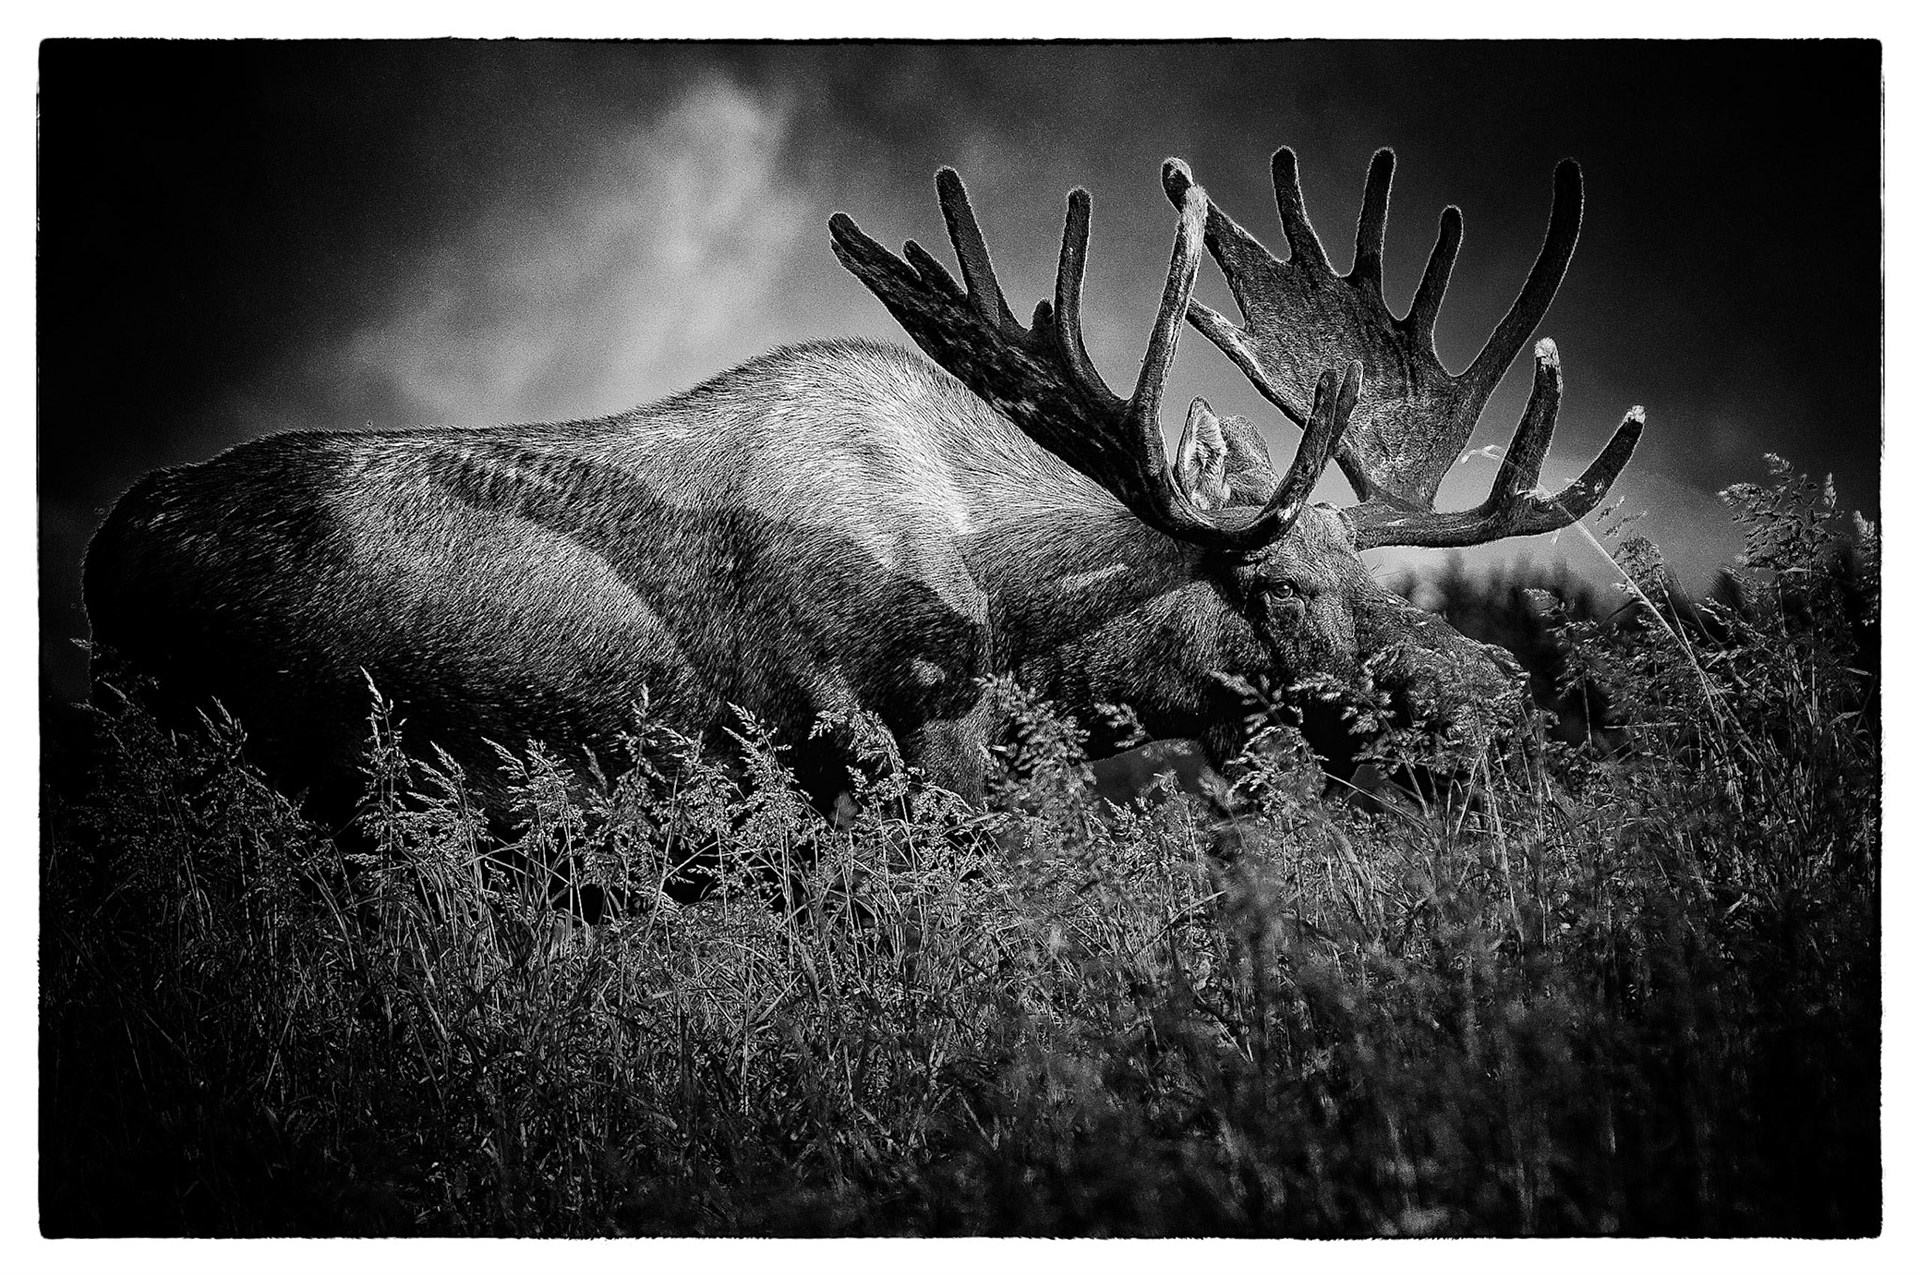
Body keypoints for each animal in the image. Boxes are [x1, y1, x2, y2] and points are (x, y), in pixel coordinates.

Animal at [83, 147, 1643, 839]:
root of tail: (105, 544)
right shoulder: (883, 749)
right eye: (1267, 579)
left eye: (1375, 564)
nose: (1495, 704)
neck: (1021, 627)